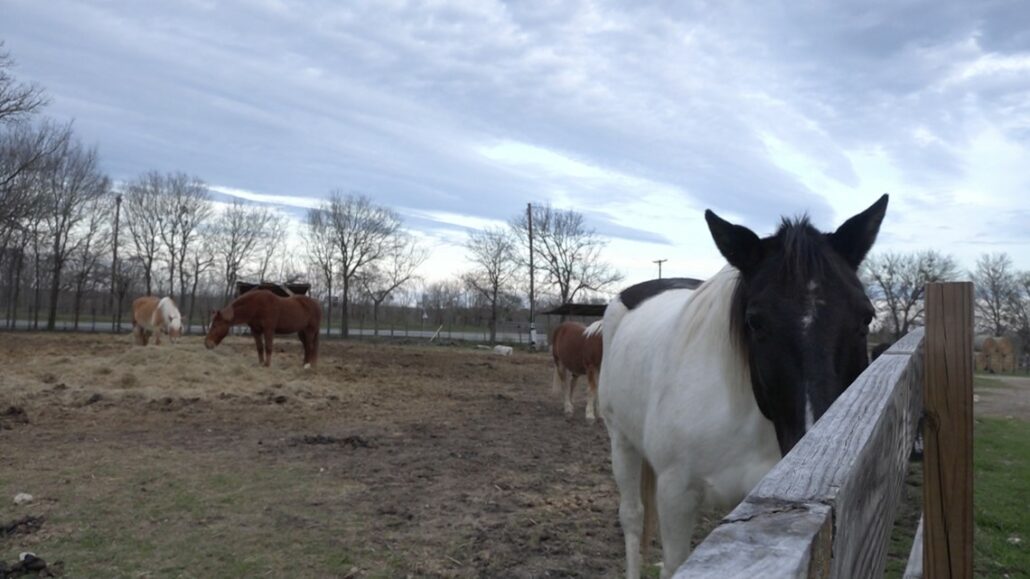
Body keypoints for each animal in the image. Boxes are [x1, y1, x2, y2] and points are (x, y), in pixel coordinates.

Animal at [601, 194, 889, 576]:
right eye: (755, 322)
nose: (809, 439)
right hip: (620, 440)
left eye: (865, 318)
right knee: (632, 518)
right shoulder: (675, 496)